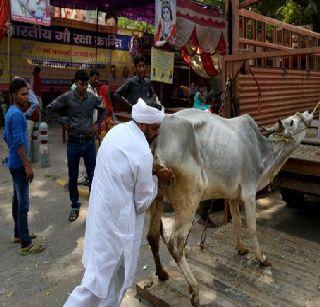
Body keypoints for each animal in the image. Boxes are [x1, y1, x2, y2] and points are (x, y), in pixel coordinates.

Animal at [146, 109, 314, 306]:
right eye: (292, 121)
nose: (309, 112)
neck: (262, 152)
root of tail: (157, 141)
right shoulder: (249, 193)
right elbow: (252, 227)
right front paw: (261, 258)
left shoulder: (232, 196)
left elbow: (236, 223)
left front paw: (241, 249)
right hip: (189, 198)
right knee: (175, 244)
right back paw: (194, 290)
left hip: (156, 197)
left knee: (152, 236)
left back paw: (162, 274)